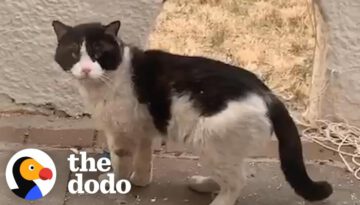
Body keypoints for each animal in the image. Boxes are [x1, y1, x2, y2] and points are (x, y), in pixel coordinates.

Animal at [52, 19, 334, 205]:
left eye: (98, 53)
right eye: (74, 53)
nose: (86, 69)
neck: (111, 77)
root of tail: (270, 96)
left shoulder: (120, 133)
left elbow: (120, 160)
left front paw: (115, 184)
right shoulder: (143, 130)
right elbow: (144, 159)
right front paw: (141, 181)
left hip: (208, 140)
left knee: (237, 181)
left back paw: (218, 202)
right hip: (225, 148)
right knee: (234, 173)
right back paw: (203, 184)